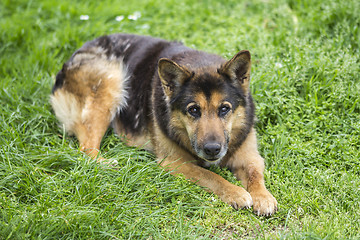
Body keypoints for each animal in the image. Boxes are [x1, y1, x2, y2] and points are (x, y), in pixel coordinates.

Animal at [49, 33, 278, 216]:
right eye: (193, 110)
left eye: (224, 109)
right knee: (86, 148)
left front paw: (263, 197)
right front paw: (236, 192)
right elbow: (210, 175)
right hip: (111, 82)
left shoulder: (250, 155)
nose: (212, 149)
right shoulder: (174, 163)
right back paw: (108, 163)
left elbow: (255, 173)